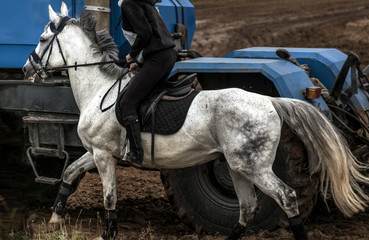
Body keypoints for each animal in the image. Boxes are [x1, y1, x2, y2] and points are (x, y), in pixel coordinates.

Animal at [22, 2, 368, 240]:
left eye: (42, 38)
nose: (27, 68)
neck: (98, 88)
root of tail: (270, 100)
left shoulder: (105, 155)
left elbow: (109, 198)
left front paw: (106, 233)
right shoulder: (96, 152)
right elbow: (69, 172)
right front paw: (55, 218)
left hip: (254, 167)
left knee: (286, 197)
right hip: (237, 166)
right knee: (248, 206)